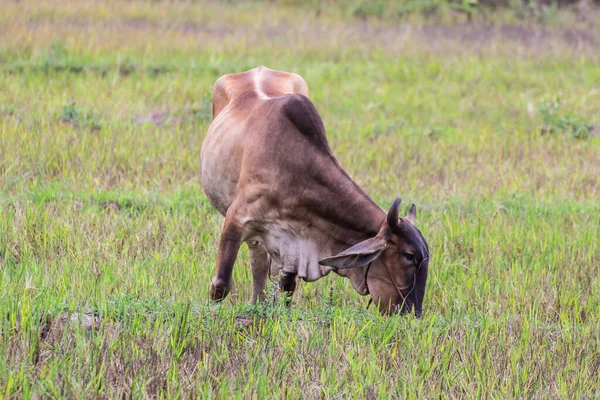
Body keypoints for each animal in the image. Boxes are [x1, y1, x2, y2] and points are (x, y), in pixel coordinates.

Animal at [203, 65, 432, 316]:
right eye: (408, 255)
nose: (412, 314)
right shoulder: (236, 221)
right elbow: (220, 286)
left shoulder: (292, 247)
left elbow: (287, 289)